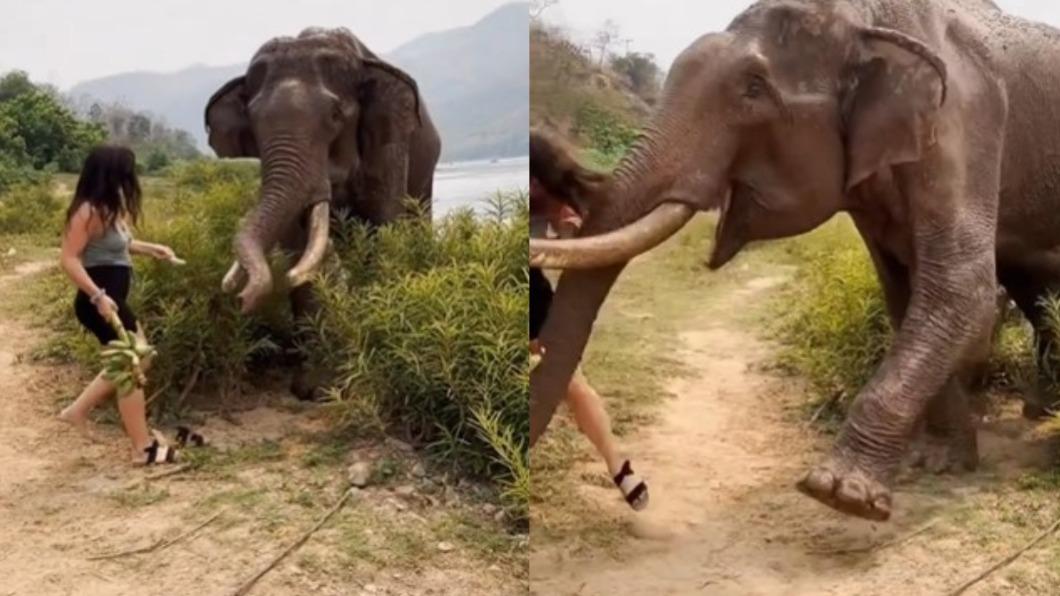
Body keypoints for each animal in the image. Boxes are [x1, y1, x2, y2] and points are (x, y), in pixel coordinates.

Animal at [204, 27, 440, 399]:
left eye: (335, 116)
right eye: (253, 124)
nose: (240, 299)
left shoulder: (390, 143)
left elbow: (385, 229)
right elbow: (299, 247)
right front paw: (313, 389)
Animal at [530, 0, 1060, 522]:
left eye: (753, 89)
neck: (865, 19)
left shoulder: (964, 123)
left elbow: (962, 290)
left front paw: (840, 494)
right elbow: (907, 294)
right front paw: (938, 465)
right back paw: (1038, 410)